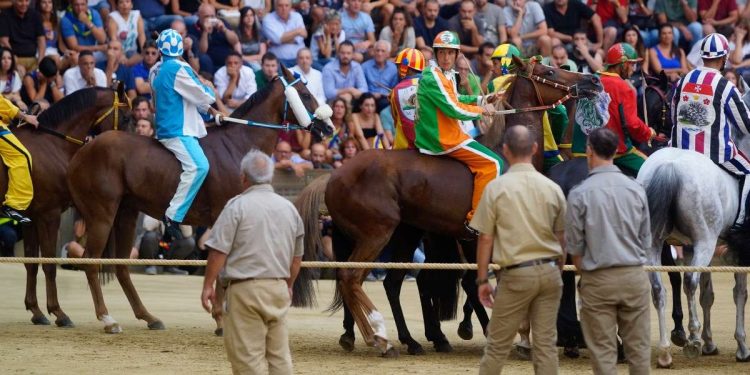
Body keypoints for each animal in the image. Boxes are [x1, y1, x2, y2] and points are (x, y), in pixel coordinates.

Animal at [0, 86, 133, 328]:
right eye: (127, 117)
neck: (52, 144)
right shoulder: (49, 216)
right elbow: (49, 265)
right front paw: (59, 313)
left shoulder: (31, 219)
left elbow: (32, 263)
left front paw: (37, 311)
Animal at [65, 66, 332, 334]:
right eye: (305, 94)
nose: (329, 128)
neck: (238, 146)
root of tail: (84, 150)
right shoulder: (224, 218)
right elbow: (222, 269)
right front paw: (221, 320)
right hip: (102, 215)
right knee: (90, 262)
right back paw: (107, 319)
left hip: (126, 216)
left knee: (120, 265)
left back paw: (149, 317)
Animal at [296, 57, 604, 356]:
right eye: (549, 71)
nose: (593, 80)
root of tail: (334, 175)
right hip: (377, 234)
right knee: (352, 278)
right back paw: (381, 338)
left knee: (374, 281)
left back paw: (396, 338)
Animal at [640, 146, 750, 368]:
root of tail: (670, 166)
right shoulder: (739, 252)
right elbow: (740, 294)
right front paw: (742, 348)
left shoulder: (693, 248)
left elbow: (707, 295)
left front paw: (710, 344)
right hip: (705, 242)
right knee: (690, 282)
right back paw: (692, 338)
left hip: (656, 245)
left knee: (658, 289)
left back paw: (665, 352)